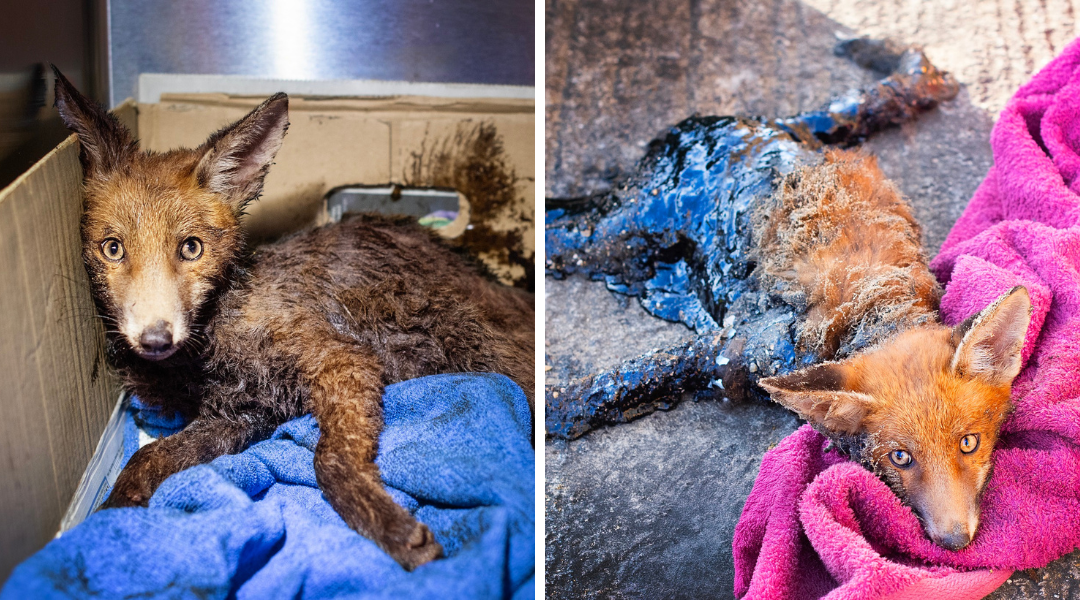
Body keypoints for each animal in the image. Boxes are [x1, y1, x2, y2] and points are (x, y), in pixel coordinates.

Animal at [51, 68, 534, 570]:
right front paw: (107, 522)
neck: (211, 343)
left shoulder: (341, 360)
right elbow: (142, 462)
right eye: (113, 249)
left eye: (191, 248)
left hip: (476, 345)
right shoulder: (239, 416)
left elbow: (328, 461)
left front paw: (385, 523)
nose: (155, 338)